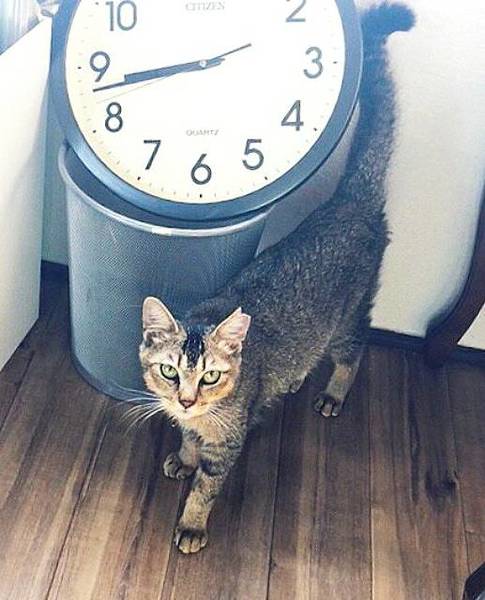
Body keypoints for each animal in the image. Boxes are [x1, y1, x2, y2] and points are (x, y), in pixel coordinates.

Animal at [139, 3, 415, 554]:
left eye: (210, 376)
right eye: (168, 372)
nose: (185, 399)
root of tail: (348, 201)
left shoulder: (228, 441)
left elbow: (207, 486)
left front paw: (192, 524)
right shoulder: (191, 422)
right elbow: (186, 439)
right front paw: (181, 457)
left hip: (348, 317)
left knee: (355, 351)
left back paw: (333, 393)